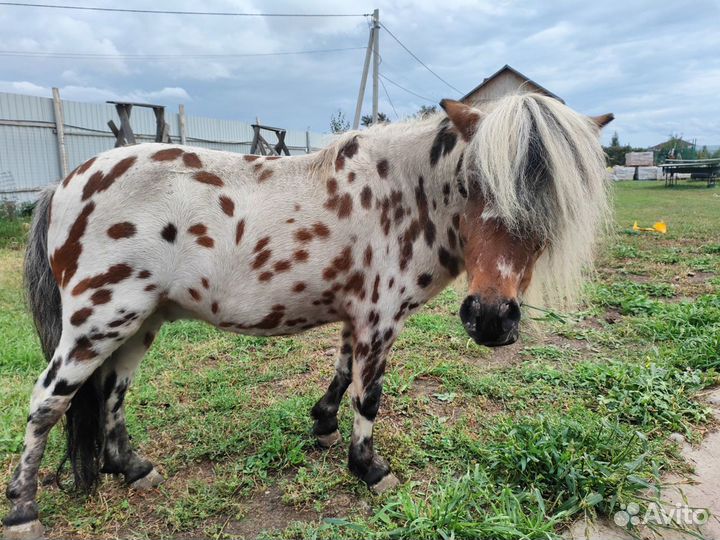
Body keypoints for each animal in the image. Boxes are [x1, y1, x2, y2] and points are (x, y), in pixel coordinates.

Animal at [5, 93, 612, 536]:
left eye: (554, 201)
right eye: (473, 182)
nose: (490, 319)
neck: (405, 194)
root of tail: (64, 183)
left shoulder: (356, 314)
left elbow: (343, 373)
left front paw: (322, 424)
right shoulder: (380, 317)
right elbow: (369, 395)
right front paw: (369, 468)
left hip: (139, 322)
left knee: (111, 392)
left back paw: (131, 468)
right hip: (98, 322)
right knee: (47, 402)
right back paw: (22, 509)